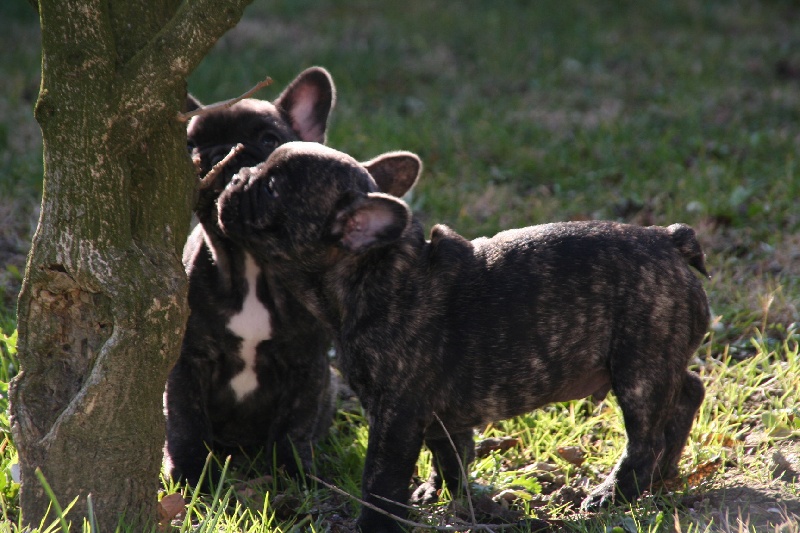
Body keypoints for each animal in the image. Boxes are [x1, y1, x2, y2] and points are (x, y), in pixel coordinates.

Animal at [216, 142, 708, 532]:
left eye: (271, 189)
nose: (237, 173)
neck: (371, 272)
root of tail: (669, 240)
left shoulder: (395, 413)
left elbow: (381, 478)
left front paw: (375, 523)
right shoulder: (439, 416)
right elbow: (449, 456)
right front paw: (456, 498)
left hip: (638, 368)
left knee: (645, 438)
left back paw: (615, 493)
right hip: (655, 359)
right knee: (688, 391)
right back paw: (665, 470)